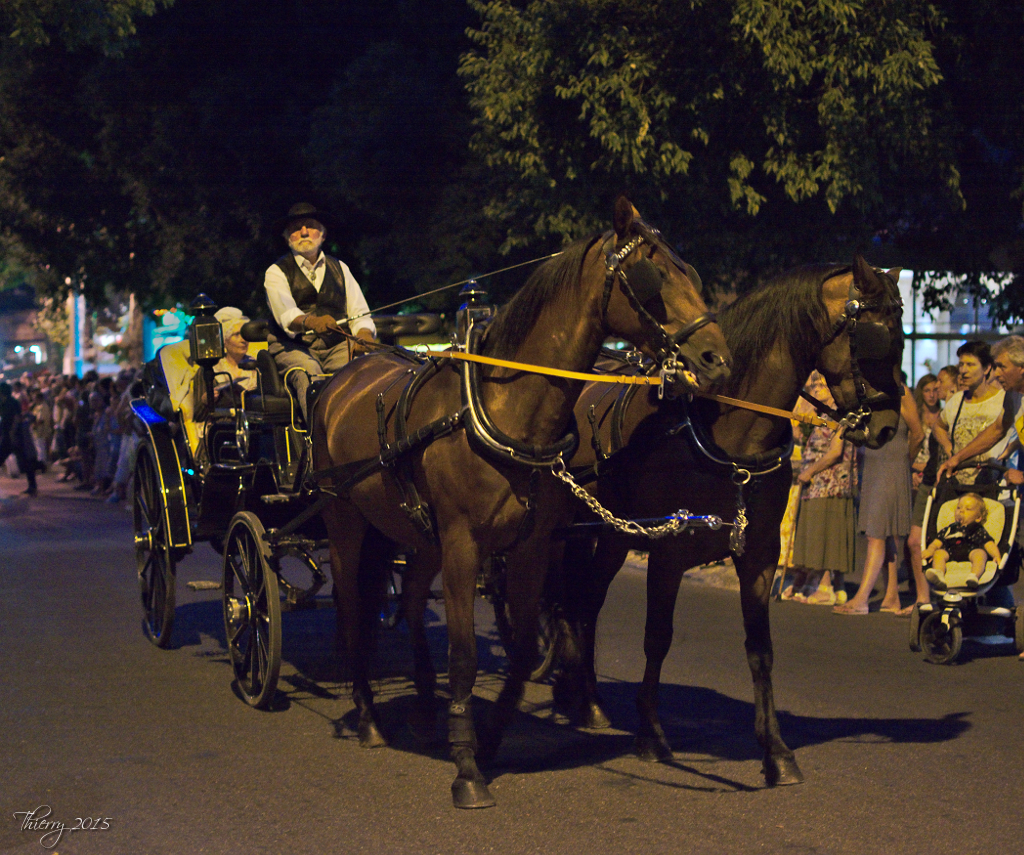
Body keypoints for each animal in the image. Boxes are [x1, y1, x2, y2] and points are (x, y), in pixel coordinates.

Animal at [309, 197, 729, 806]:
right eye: (652, 278)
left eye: (691, 273)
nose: (718, 358)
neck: (506, 412)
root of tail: (340, 380)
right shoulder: (464, 545)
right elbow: (464, 656)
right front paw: (466, 767)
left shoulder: (530, 547)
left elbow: (526, 649)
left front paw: (485, 738)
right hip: (346, 521)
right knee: (350, 607)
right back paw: (368, 719)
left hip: (415, 534)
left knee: (408, 601)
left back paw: (425, 707)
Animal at [557, 255, 901, 790]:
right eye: (873, 337)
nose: (888, 427)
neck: (728, 430)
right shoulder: (669, 552)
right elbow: (658, 637)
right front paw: (650, 734)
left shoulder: (759, 556)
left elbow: (761, 649)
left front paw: (776, 750)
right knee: (580, 603)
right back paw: (587, 700)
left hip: (611, 535)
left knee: (582, 602)